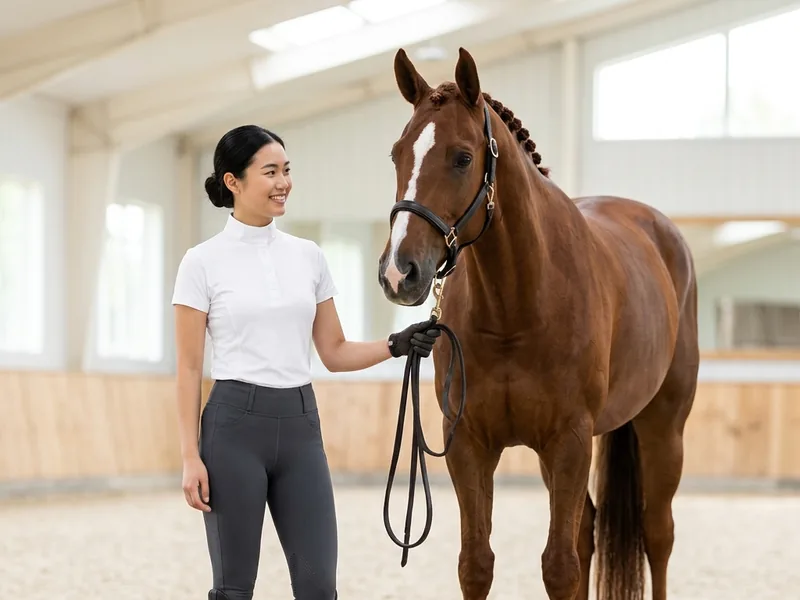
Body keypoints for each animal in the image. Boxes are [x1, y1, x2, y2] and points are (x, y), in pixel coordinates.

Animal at [377, 47, 699, 600]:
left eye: (463, 157)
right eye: (397, 154)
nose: (400, 271)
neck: (518, 310)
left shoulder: (569, 440)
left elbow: (560, 568)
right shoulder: (470, 444)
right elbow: (477, 563)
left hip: (663, 429)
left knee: (658, 534)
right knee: (588, 530)